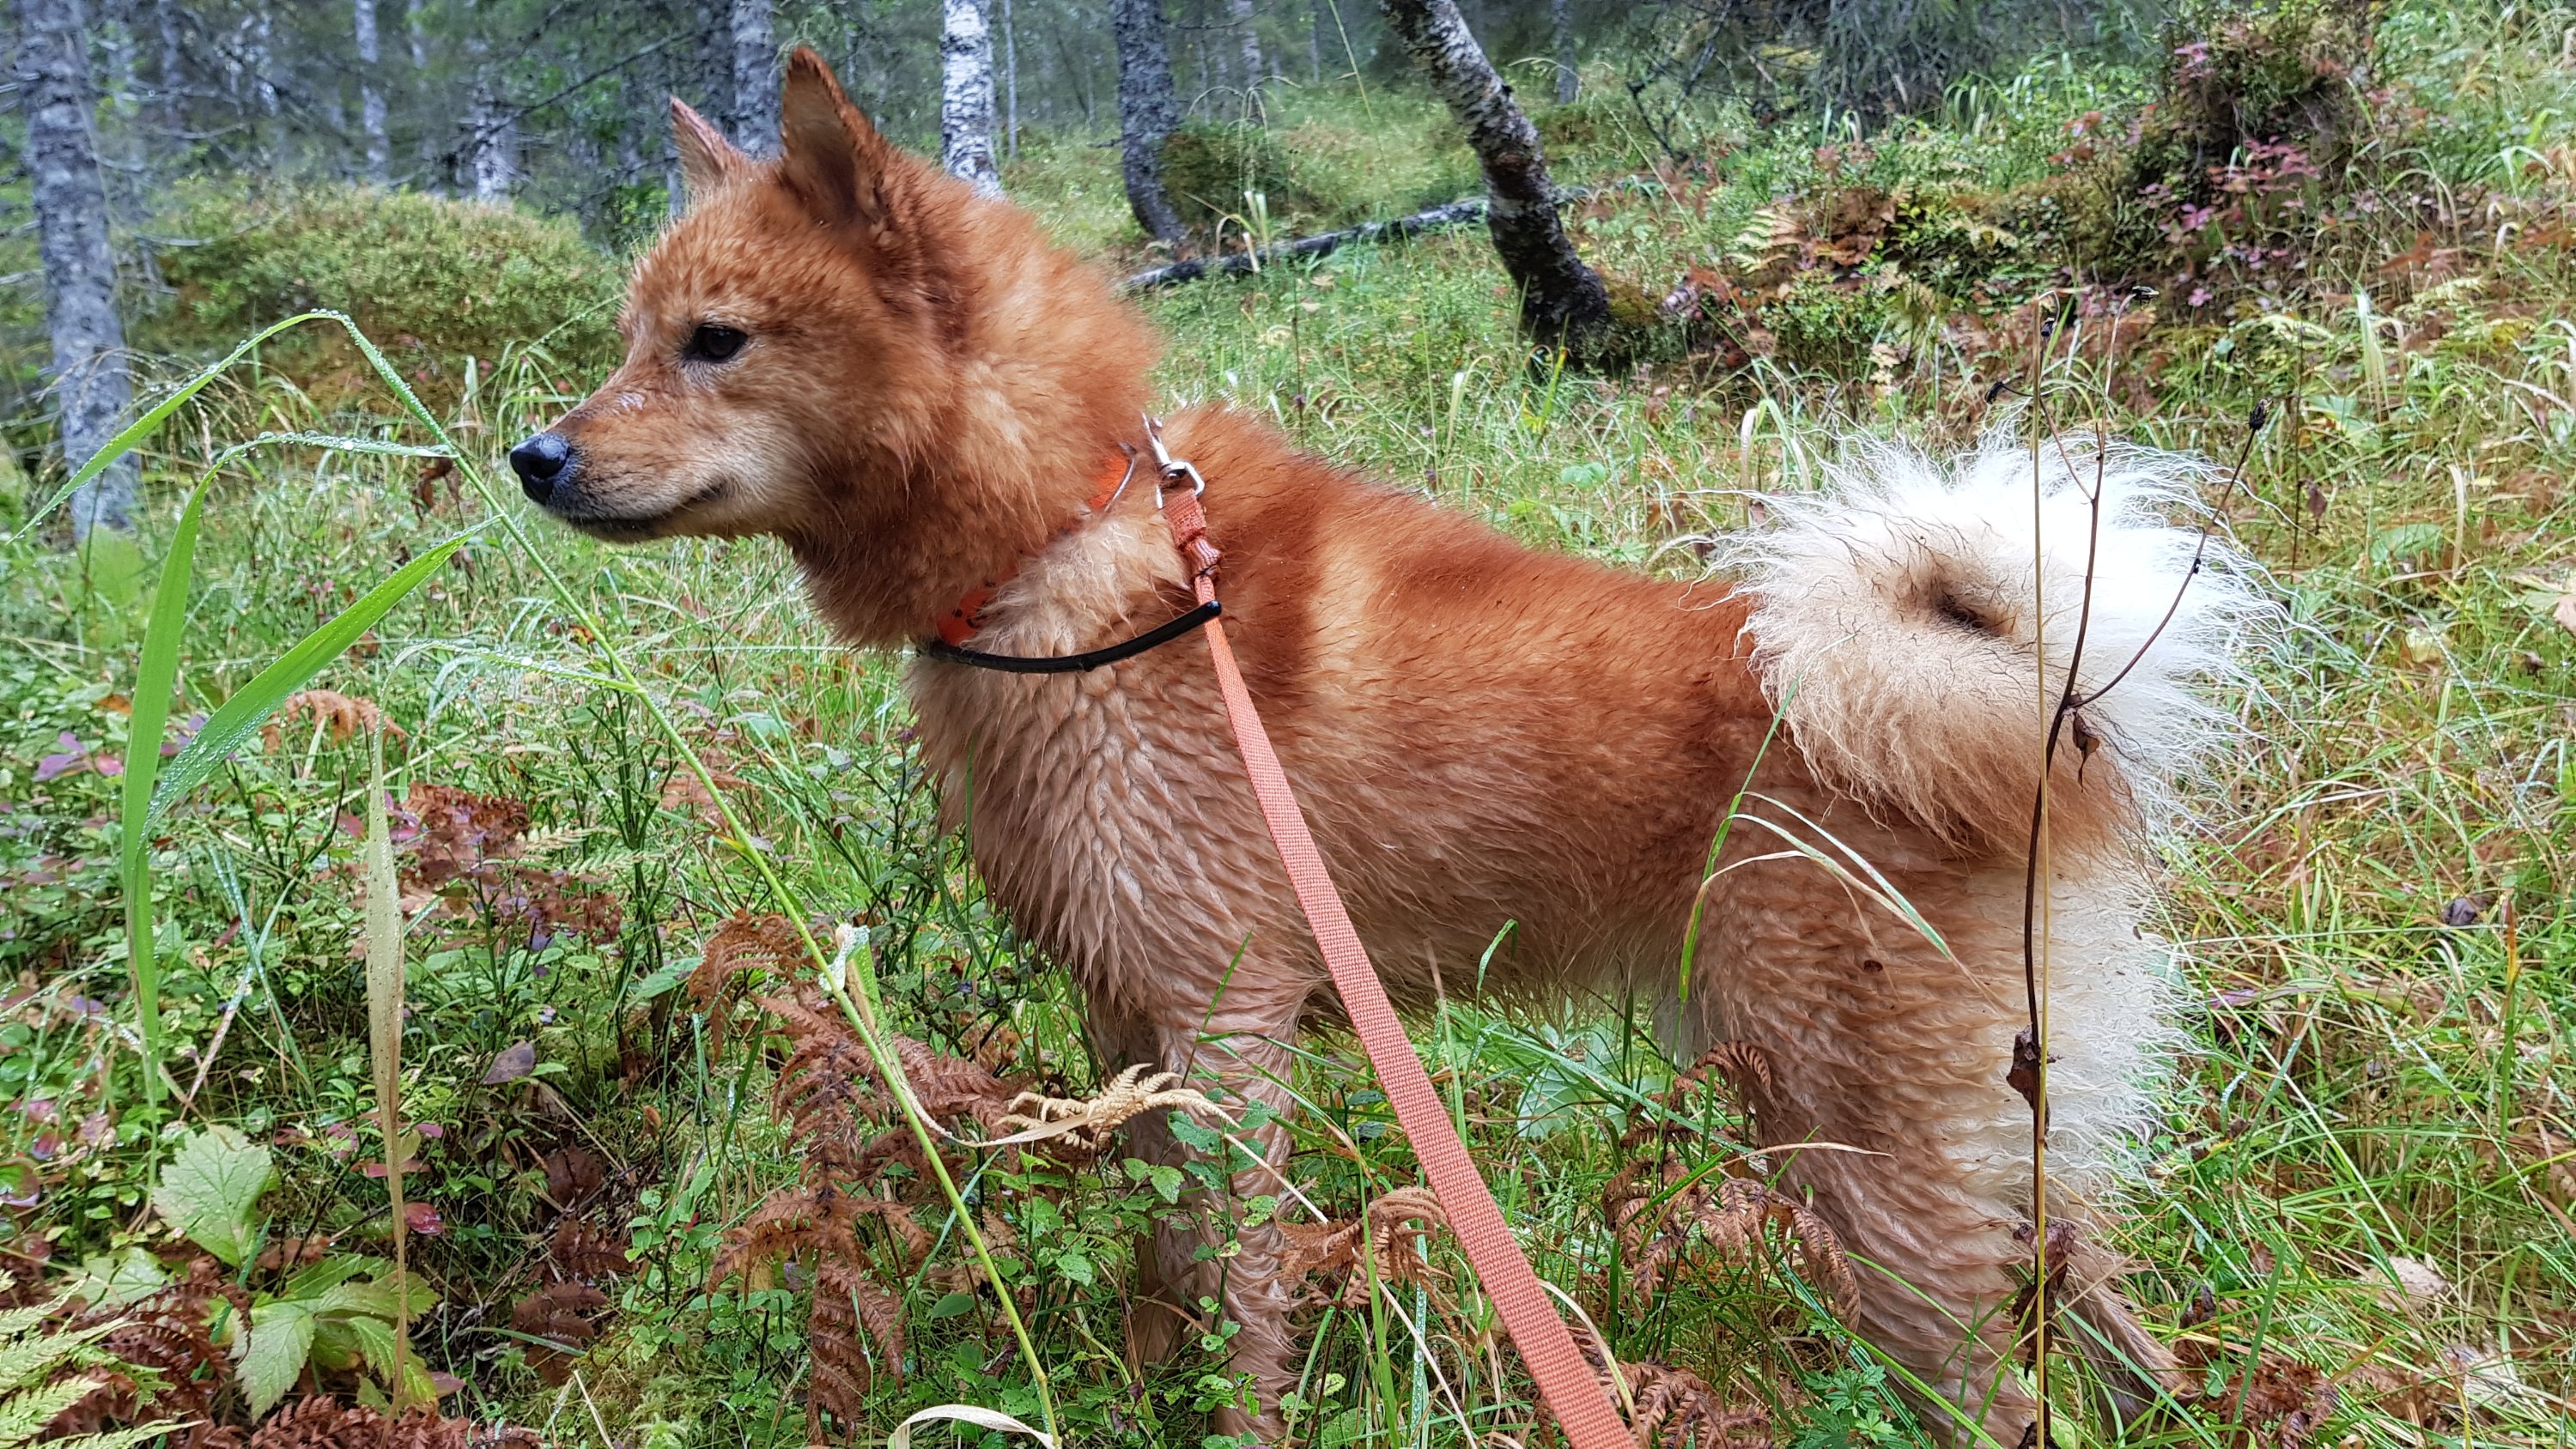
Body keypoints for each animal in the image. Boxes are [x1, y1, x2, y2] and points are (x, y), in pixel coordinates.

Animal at [513, 49, 2265, 1444]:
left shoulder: (1229, 1031)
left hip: (1867, 1157)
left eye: (716, 340)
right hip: (1976, 1152)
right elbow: (1151, 1272)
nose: (531, 457)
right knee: (2119, 1338)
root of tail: (2021, 701)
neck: (1063, 540)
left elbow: (1236, 1307)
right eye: (630, 335)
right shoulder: (1126, 1025)